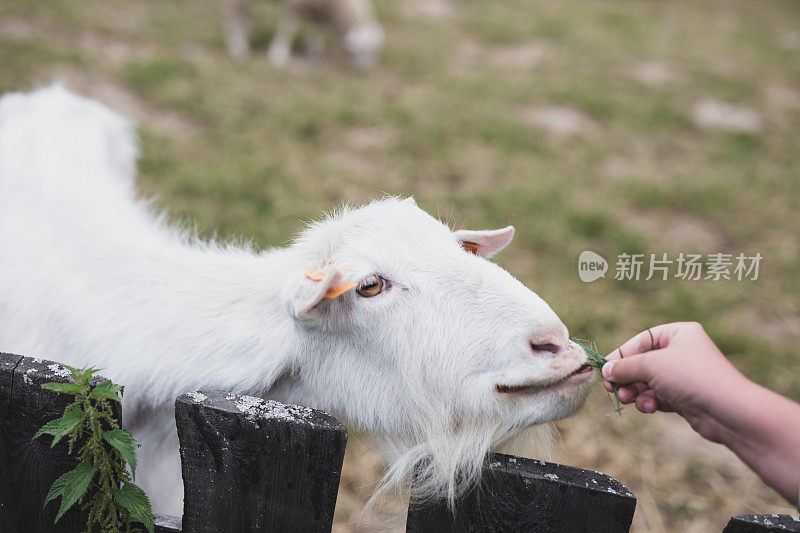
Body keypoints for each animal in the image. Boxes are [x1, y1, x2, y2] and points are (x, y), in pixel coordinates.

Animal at [222, 0, 384, 69]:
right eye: (363, 49)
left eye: (376, 50)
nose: (367, 69)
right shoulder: (295, 5)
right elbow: (288, 30)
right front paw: (278, 55)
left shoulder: (314, 8)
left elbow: (315, 28)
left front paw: (316, 50)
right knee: (234, 14)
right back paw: (238, 48)